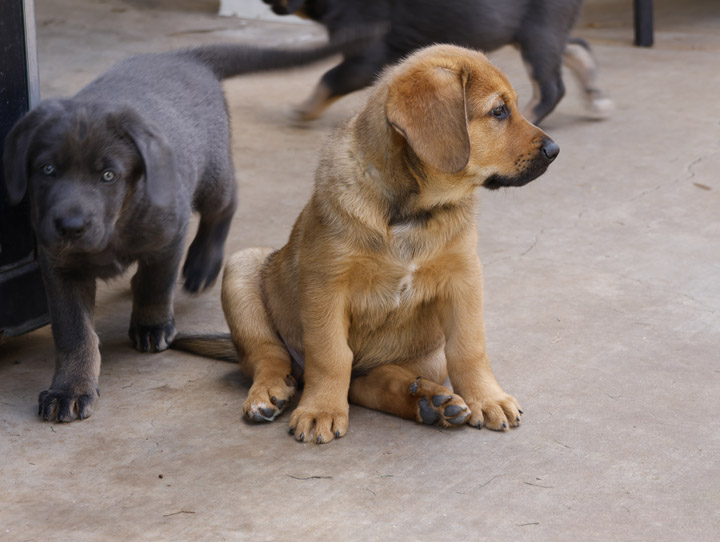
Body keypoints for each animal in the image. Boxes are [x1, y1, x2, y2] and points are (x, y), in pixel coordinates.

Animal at [5, 40, 374, 428]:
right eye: (47, 169)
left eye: (108, 175)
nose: (71, 226)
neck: (117, 223)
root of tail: (185, 55)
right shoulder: (60, 265)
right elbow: (74, 333)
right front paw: (69, 389)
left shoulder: (169, 234)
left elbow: (155, 283)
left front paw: (152, 326)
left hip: (213, 176)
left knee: (225, 204)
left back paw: (202, 264)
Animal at [174, 45, 564, 446]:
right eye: (499, 111)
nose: (555, 150)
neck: (410, 212)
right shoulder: (325, 285)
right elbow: (330, 355)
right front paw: (319, 410)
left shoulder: (464, 277)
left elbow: (470, 348)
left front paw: (487, 398)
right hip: (242, 268)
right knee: (269, 356)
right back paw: (270, 392)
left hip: (428, 353)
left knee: (366, 383)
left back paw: (428, 400)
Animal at [262, 0, 612, 124]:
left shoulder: (364, 55)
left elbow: (329, 79)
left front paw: (303, 110)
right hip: (540, 31)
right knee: (577, 47)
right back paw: (597, 97)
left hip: (538, 32)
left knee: (550, 87)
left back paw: (525, 117)